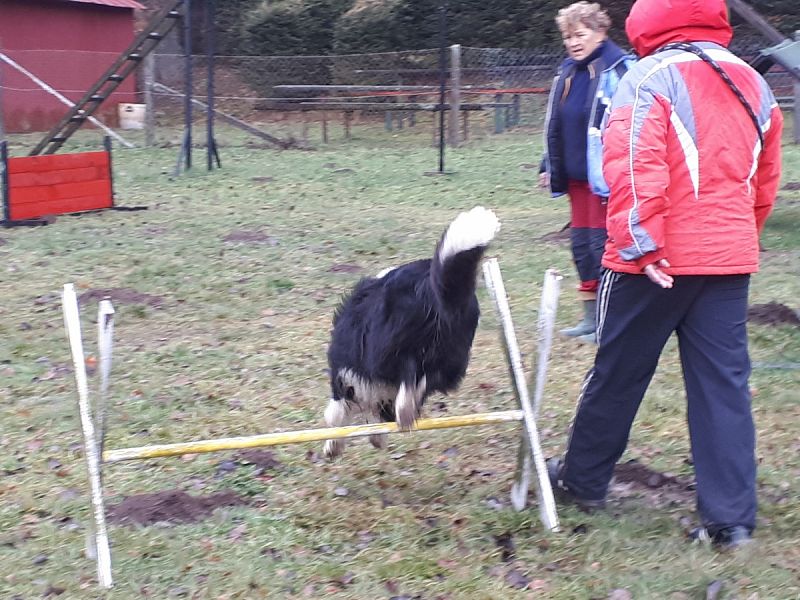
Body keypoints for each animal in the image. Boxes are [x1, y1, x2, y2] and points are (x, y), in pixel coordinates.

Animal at [320, 207, 496, 460]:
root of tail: (429, 287)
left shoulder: (345, 374)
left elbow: (336, 414)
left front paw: (333, 446)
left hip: (385, 348)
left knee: (409, 372)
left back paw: (404, 412)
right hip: (453, 357)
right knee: (424, 378)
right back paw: (407, 413)